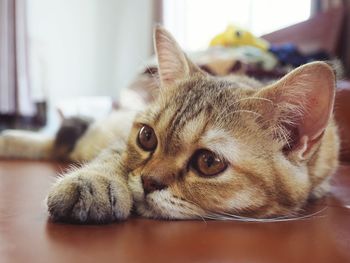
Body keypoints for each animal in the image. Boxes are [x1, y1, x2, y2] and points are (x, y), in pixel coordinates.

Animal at [2, 26, 340, 224]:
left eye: (208, 162)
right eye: (146, 137)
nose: (148, 181)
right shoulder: (119, 143)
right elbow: (113, 158)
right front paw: (95, 181)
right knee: (59, 142)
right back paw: (11, 139)